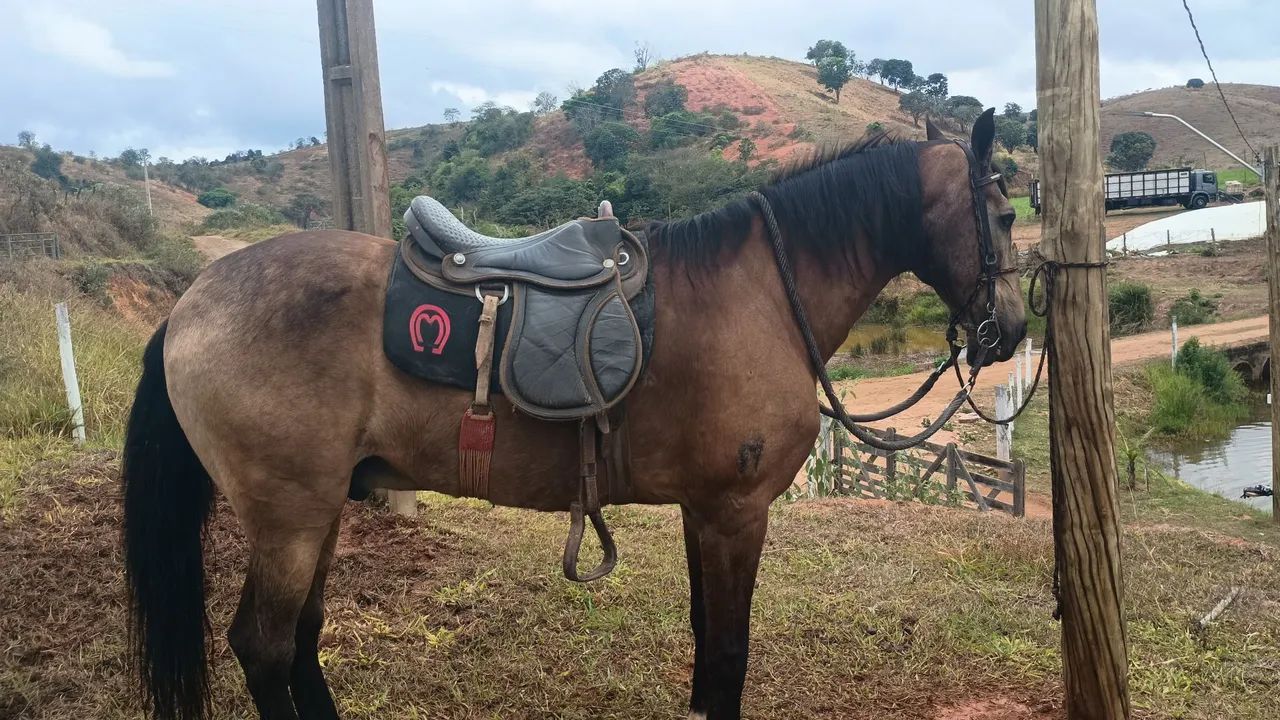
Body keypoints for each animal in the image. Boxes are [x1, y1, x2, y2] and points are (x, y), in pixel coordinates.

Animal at [121, 111, 1025, 720]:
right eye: (1009, 214)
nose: (1010, 330)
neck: (762, 294)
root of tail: (191, 302)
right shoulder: (737, 513)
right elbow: (729, 656)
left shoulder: (706, 512)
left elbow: (707, 646)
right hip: (291, 516)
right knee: (265, 647)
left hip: (319, 511)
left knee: (301, 641)